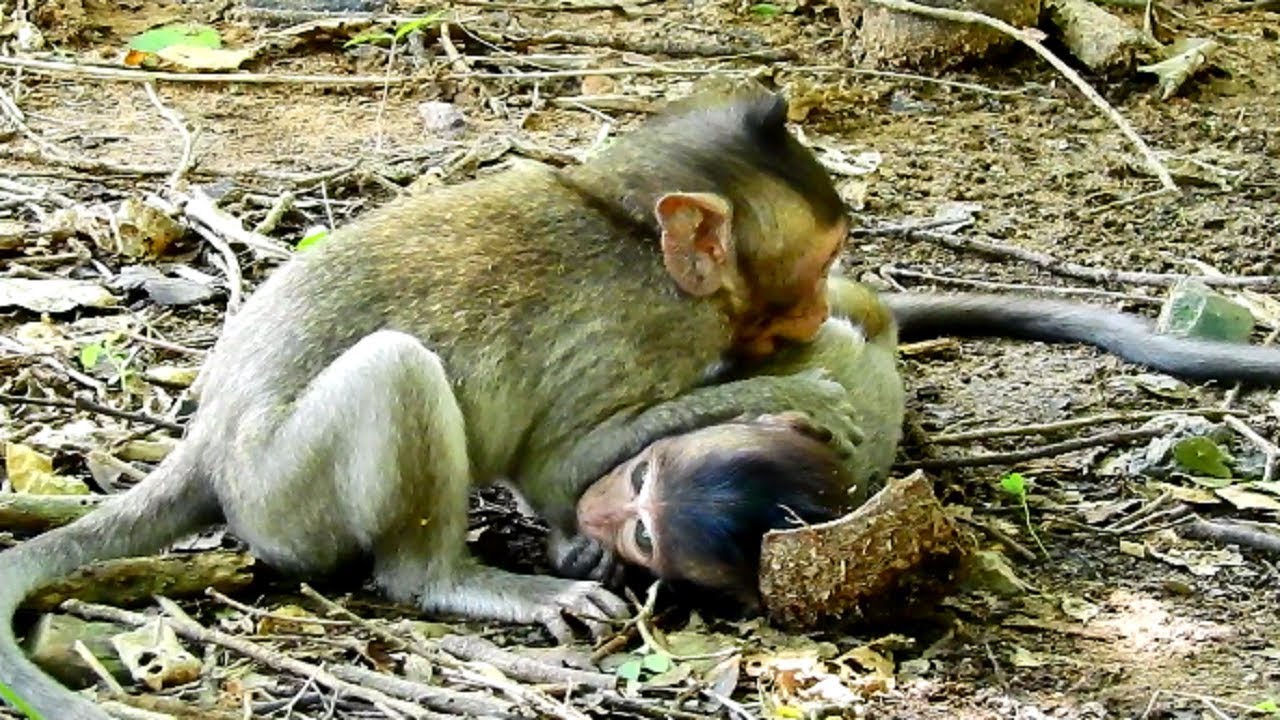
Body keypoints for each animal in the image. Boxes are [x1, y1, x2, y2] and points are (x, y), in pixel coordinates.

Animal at [0, 87, 858, 720]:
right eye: (818, 267)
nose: (821, 310)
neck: (626, 222)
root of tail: (208, 443)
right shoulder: (649, 334)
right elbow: (561, 464)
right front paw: (794, 389)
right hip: (285, 497)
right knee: (396, 369)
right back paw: (449, 580)